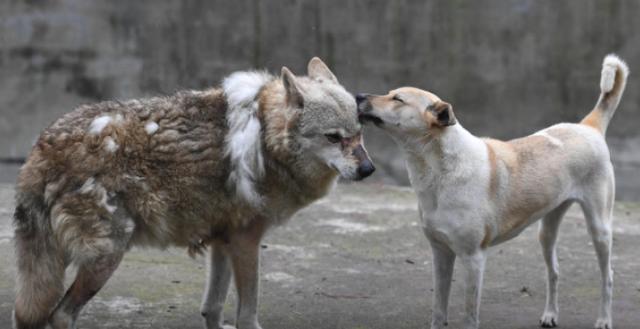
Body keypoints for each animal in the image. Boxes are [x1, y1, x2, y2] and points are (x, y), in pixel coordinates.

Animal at [11, 57, 376, 328]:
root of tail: (40, 149)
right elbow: (247, 314)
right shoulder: (246, 241)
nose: (368, 169)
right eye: (333, 137)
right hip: (105, 257)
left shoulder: (223, 240)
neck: (266, 140)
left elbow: (212, 308)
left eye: (359, 133)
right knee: (60, 315)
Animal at [358, 54, 628, 328]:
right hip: (546, 231)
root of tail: (588, 126)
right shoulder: (440, 253)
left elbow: (469, 316)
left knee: (608, 276)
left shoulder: (473, 258)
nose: (358, 96)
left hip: (599, 228)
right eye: (390, 93)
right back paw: (550, 315)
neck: (441, 170)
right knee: (554, 271)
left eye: (398, 99)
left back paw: (604, 319)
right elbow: (439, 309)